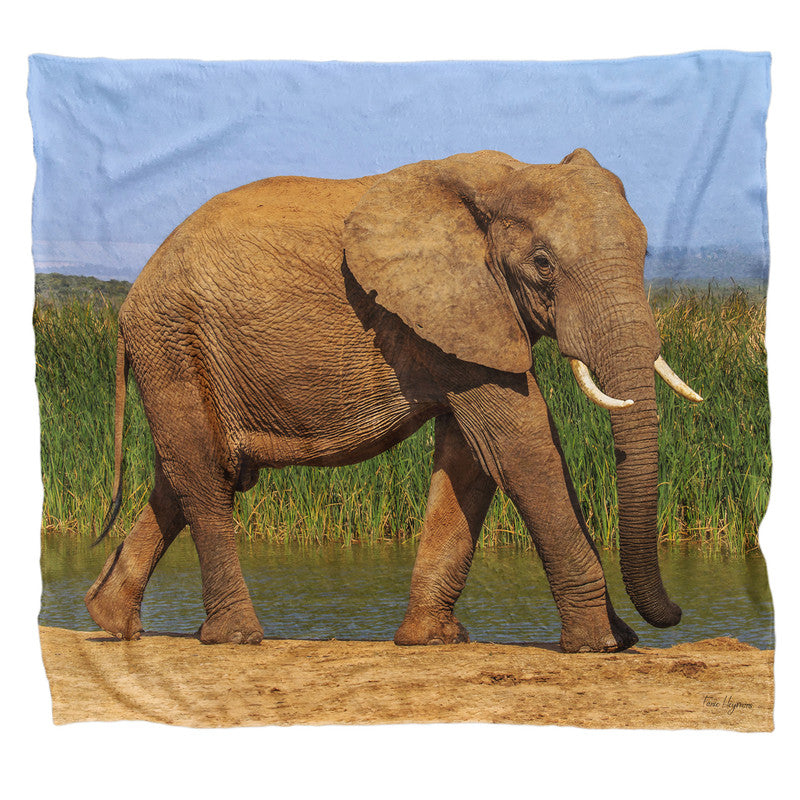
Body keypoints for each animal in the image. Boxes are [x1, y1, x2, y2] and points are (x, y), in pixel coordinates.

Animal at [84, 148, 702, 652]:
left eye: (646, 255)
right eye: (544, 265)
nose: (674, 613)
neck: (506, 177)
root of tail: (131, 297)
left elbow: (474, 459)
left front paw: (433, 640)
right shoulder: (448, 307)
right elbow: (522, 446)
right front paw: (601, 645)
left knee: (185, 475)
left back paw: (111, 621)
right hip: (173, 341)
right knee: (206, 476)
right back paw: (235, 638)